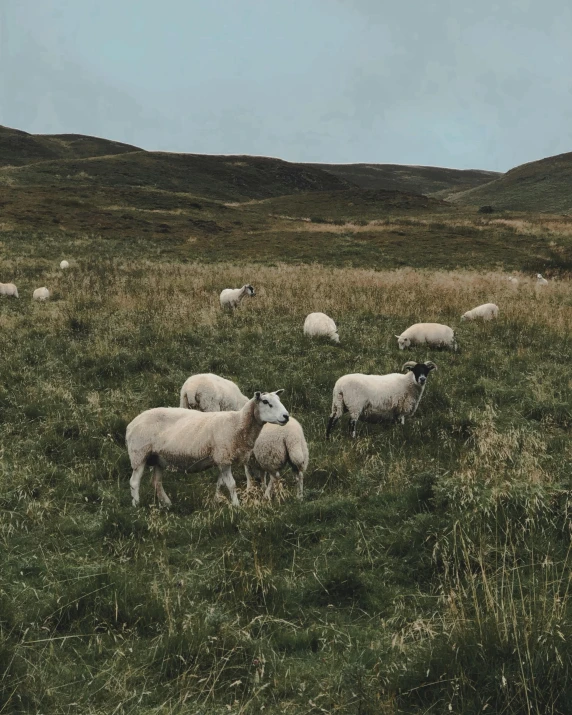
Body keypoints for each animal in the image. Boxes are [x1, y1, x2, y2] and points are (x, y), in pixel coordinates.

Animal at [124, 392, 286, 510]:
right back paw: (136, 505)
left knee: (156, 482)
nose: (286, 416)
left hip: (159, 457)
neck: (237, 423)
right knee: (134, 482)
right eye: (266, 402)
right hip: (139, 453)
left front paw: (217, 500)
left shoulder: (221, 459)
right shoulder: (223, 457)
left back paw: (167, 504)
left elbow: (220, 483)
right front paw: (236, 506)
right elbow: (231, 484)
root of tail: (131, 424)